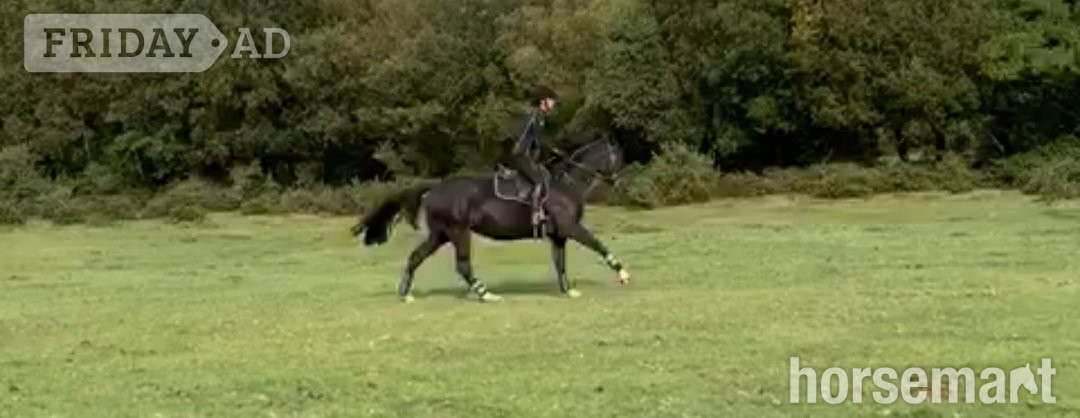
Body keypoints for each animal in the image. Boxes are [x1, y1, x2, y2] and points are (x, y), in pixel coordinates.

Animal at [351, 136, 631, 303]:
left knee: (415, 257)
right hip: (458, 232)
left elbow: (560, 263)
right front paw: (623, 274)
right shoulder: (570, 227)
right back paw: (486, 294)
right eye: (619, 157)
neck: (568, 185)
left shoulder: (558, 235)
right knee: (462, 265)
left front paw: (568, 290)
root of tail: (436, 186)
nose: (619, 182)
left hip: (440, 234)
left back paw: (405, 294)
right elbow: (598, 245)